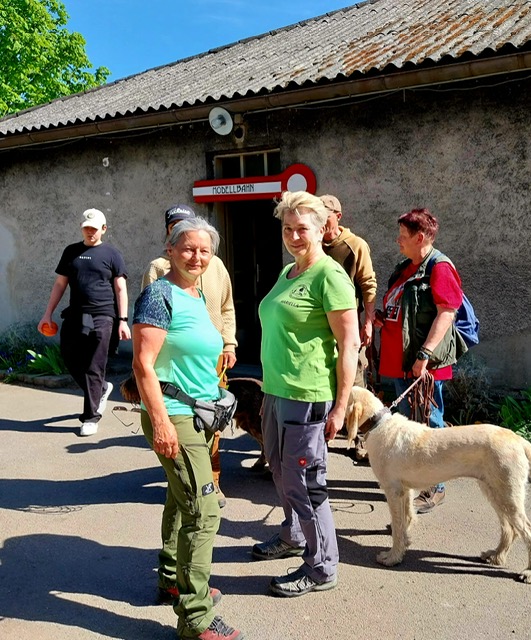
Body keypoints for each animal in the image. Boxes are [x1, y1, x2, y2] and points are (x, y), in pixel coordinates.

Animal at [346, 386, 531, 583]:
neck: (378, 424)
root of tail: (518, 439)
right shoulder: (405, 490)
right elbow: (406, 519)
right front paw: (404, 545)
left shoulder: (392, 490)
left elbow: (397, 526)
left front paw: (392, 557)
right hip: (494, 492)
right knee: (509, 529)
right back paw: (495, 556)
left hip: (507, 496)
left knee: (525, 530)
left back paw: (527, 572)